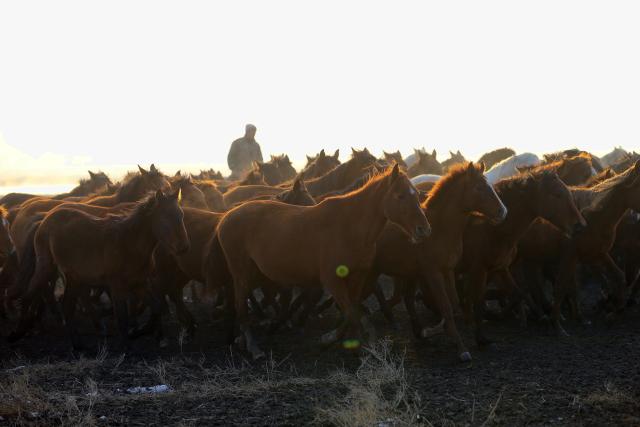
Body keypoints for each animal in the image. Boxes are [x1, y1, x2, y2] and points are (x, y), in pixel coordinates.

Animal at [8, 190, 189, 349]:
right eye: (165, 217)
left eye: (181, 215)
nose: (184, 247)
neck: (129, 243)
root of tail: (43, 221)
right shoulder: (117, 286)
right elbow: (122, 317)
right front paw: (126, 346)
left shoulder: (139, 284)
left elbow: (156, 307)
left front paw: (147, 334)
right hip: (46, 267)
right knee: (29, 295)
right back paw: (17, 333)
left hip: (73, 277)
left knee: (67, 306)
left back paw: (77, 344)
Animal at [214, 164, 430, 359]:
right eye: (400, 196)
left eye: (417, 194)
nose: (424, 229)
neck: (350, 227)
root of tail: (226, 217)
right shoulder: (332, 280)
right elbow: (351, 313)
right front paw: (350, 344)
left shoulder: (358, 277)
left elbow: (352, 311)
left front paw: (339, 341)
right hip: (241, 274)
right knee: (241, 306)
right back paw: (253, 346)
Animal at [366, 162, 506, 362]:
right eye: (479, 187)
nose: (502, 211)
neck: (440, 229)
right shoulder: (433, 273)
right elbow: (446, 307)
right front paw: (461, 348)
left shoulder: (448, 270)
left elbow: (454, 303)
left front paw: (433, 331)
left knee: (406, 298)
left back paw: (416, 330)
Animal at [459, 170, 586, 345]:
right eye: (557, 194)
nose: (580, 225)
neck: (493, 228)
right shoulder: (481, 268)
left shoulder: (501, 267)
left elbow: (521, 292)